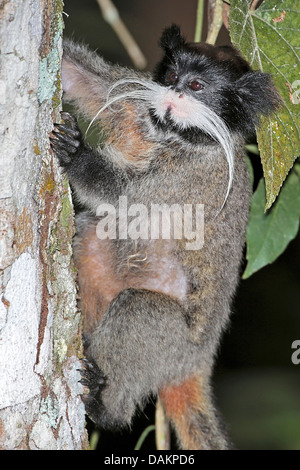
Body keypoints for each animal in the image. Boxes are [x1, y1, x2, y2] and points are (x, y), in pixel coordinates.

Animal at [49, 23, 282, 450]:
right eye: (173, 77)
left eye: (197, 86)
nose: (173, 97)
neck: (173, 137)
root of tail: (198, 363)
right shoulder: (137, 99)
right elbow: (85, 80)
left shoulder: (189, 179)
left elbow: (126, 197)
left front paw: (76, 156)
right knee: (93, 233)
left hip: (173, 347)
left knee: (138, 308)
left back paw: (107, 407)